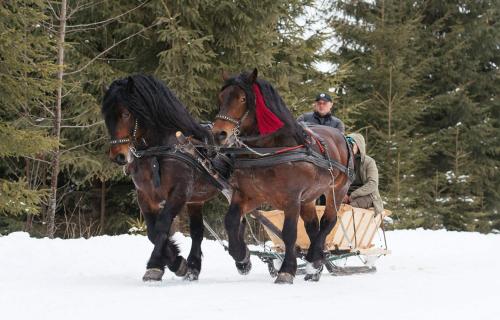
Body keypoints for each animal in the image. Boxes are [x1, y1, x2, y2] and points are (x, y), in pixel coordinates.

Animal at [101, 74, 219, 282]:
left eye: (126, 114)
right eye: (107, 116)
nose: (118, 156)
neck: (159, 151)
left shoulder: (179, 193)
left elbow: (163, 225)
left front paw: (156, 264)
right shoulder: (145, 195)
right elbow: (152, 231)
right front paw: (175, 262)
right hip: (196, 200)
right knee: (197, 232)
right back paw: (194, 267)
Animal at [213, 69, 354, 282]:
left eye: (243, 98)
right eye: (221, 97)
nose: (218, 134)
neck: (268, 151)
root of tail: (342, 138)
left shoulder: (292, 199)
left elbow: (289, 233)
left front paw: (287, 270)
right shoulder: (248, 195)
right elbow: (230, 220)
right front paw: (242, 259)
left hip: (337, 190)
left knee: (328, 222)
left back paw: (314, 260)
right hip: (309, 198)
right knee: (313, 227)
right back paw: (315, 265)